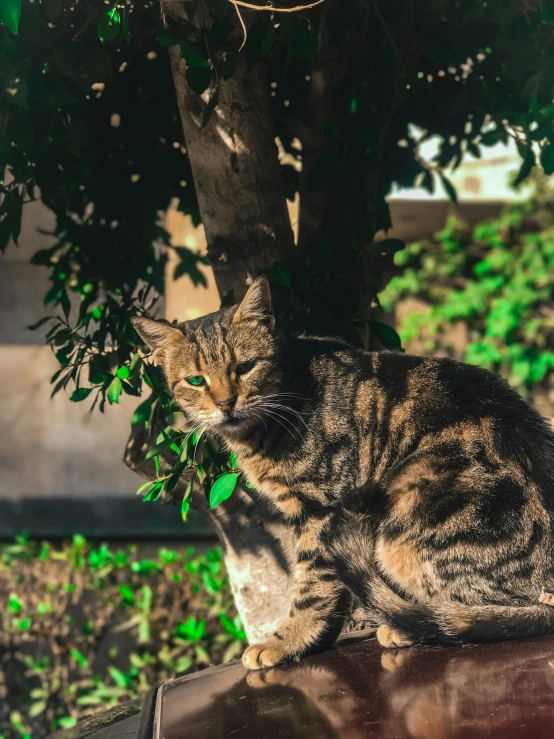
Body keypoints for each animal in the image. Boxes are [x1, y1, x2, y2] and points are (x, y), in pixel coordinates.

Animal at [130, 276, 554, 672]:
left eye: (245, 367)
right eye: (196, 380)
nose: (225, 403)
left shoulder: (322, 510)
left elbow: (313, 588)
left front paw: (285, 642)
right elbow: (334, 591)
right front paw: (315, 640)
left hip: (406, 528)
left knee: (498, 611)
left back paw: (409, 624)